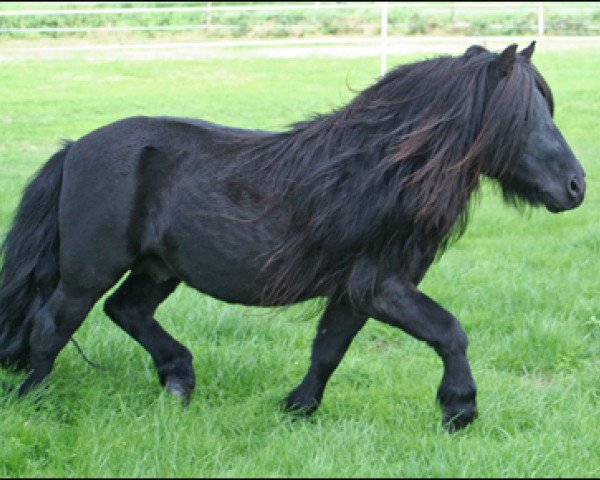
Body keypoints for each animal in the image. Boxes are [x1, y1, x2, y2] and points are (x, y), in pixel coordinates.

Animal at [0, 43, 584, 430]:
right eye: (527, 116)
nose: (576, 186)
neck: (375, 170)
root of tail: (76, 148)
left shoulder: (355, 291)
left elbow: (328, 350)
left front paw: (297, 408)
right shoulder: (381, 286)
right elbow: (449, 331)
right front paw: (459, 408)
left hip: (157, 269)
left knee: (127, 311)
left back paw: (179, 383)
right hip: (89, 270)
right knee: (52, 325)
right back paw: (32, 403)